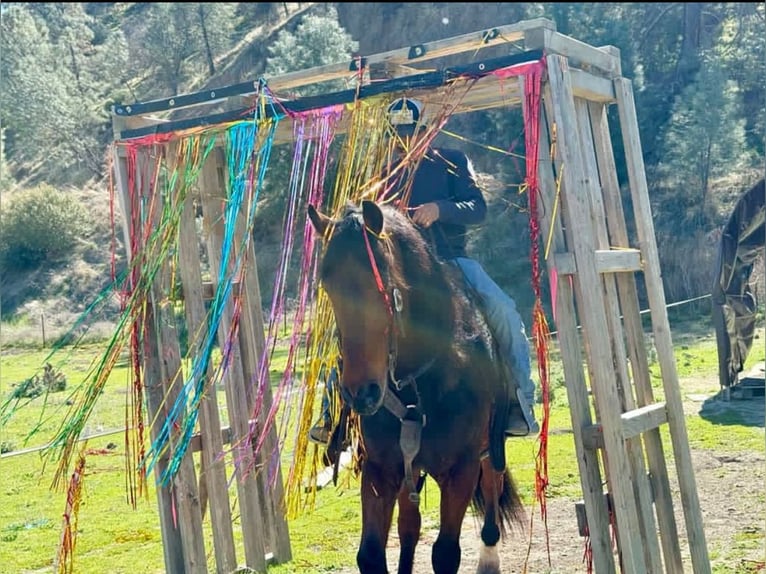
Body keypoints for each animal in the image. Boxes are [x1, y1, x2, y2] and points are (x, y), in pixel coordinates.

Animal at [308, 201, 524, 574]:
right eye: (328, 285)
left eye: (379, 282)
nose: (361, 393)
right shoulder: (381, 470)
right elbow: (370, 554)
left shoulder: (461, 471)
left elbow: (446, 553)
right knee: (410, 525)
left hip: (490, 447)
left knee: (492, 488)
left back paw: (489, 555)